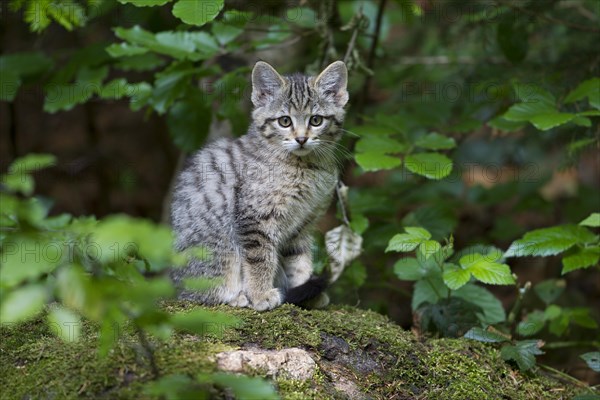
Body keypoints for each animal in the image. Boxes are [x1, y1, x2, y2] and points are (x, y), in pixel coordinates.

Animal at [170, 60, 346, 310]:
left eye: (316, 120)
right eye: (284, 121)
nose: (301, 139)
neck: (305, 167)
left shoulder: (303, 225)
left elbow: (299, 260)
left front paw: (305, 291)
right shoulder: (255, 218)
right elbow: (259, 258)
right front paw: (260, 294)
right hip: (218, 248)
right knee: (200, 292)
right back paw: (236, 296)